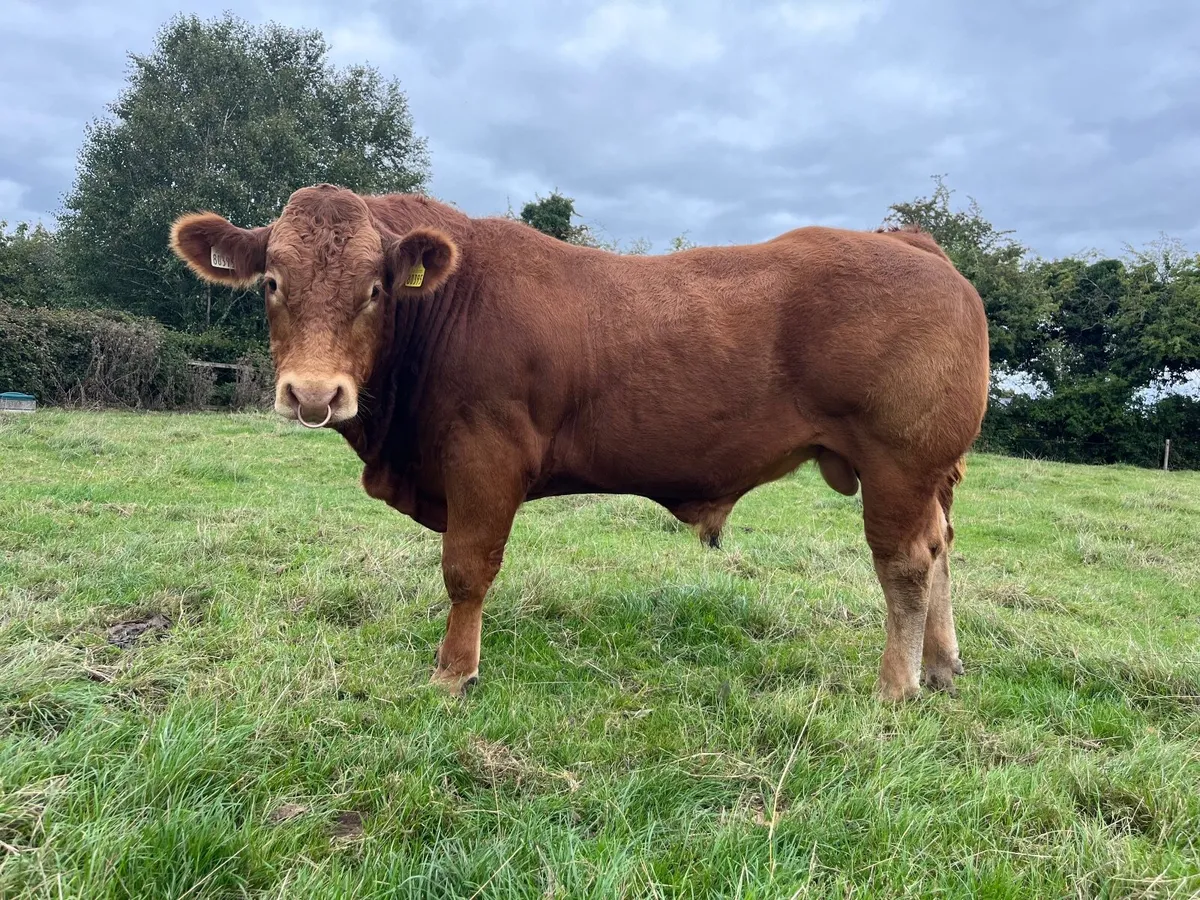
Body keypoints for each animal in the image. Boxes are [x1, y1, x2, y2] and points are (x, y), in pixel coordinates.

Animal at [169, 184, 990, 702]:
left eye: (375, 289)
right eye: (272, 282)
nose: (314, 394)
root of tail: (915, 245)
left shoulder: (485, 456)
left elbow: (466, 570)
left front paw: (453, 673)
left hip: (899, 462)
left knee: (905, 565)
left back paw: (895, 685)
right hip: (932, 473)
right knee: (941, 548)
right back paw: (942, 666)